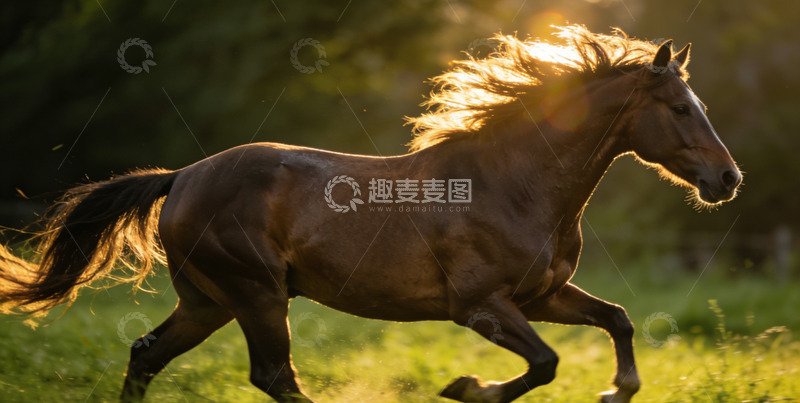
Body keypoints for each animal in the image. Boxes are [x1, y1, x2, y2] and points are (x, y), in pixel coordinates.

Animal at [0, 25, 741, 402]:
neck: (513, 185)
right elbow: (545, 363)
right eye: (681, 108)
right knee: (273, 376)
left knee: (147, 354)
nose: (727, 179)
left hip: (208, 300)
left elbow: (616, 320)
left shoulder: (544, 294)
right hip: (256, 293)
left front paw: (617, 390)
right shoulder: (480, 305)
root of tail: (181, 176)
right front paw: (465, 386)